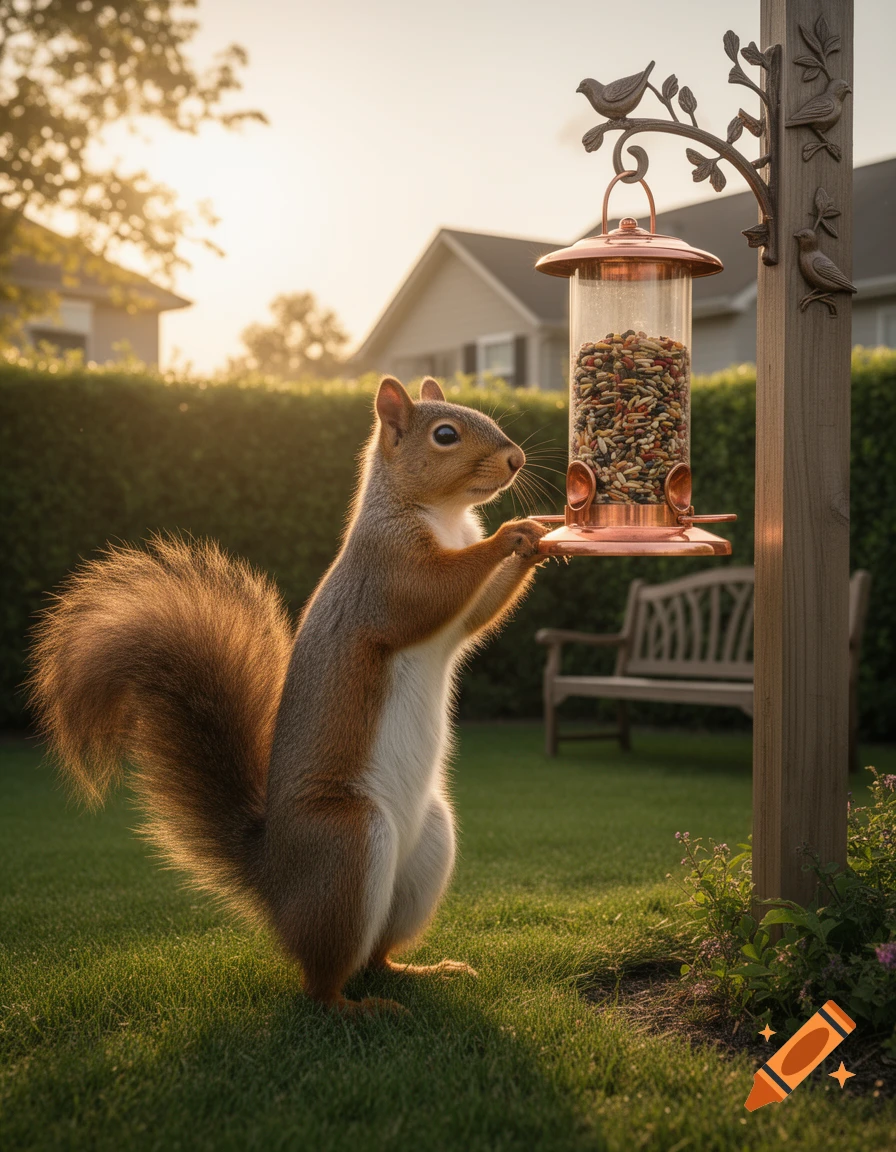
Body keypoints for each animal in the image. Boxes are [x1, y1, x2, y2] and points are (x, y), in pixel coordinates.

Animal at [30, 374, 548, 1015]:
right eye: (445, 434)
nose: (516, 459)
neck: (445, 517)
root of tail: (277, 882)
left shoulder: (456, 609)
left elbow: (478, 612)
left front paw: (538, 538)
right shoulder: (388, 575)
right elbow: (433, 591)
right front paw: (511, 534)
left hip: (428, 848)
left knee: (375, 955)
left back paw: (421, 972)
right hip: (347, 846)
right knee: (321, 979)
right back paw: (355, 1009)